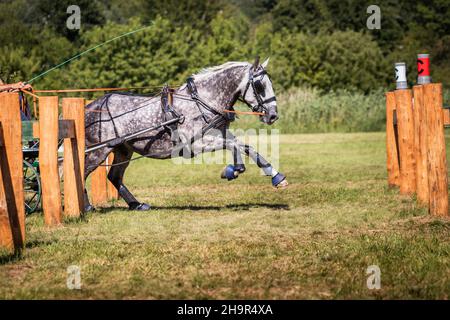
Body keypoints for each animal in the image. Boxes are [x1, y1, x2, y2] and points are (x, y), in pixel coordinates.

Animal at [84, 58, 286, 211]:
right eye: (259, 85)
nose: (273, 115)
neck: (203, 101)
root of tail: (90, 107)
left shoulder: (220, 134)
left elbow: (246, 147)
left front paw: (276, 176)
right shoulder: (194, 144)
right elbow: (233, 145)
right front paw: (233, 170)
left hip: (123, 149)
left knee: (114, 176)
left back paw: (137, 205)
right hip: (98, 151)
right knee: (80, 170)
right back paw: (86, 207)